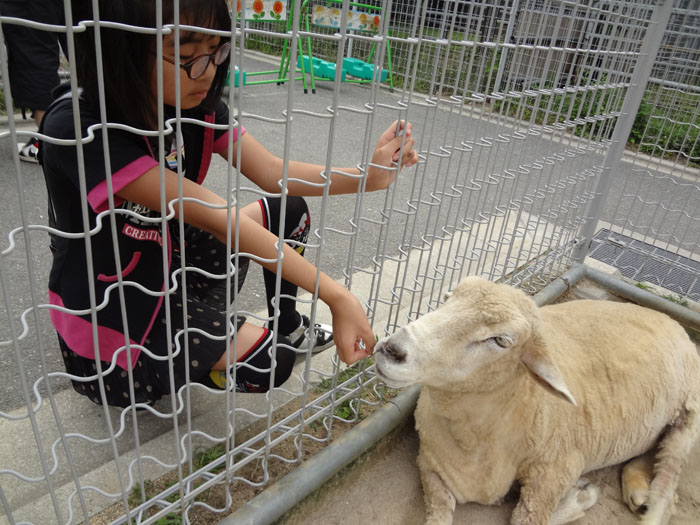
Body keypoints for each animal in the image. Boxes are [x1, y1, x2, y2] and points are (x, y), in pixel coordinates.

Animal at [374, 276, 700, 520]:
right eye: (447, 298)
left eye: (500, 340)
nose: (392, 350)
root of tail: (671, 320)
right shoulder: (430, 465)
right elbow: (439, 510)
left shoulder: (555, 471)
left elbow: (526, 517)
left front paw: (580, 498)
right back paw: (638, 491)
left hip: (689, 416)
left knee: (668, 482)